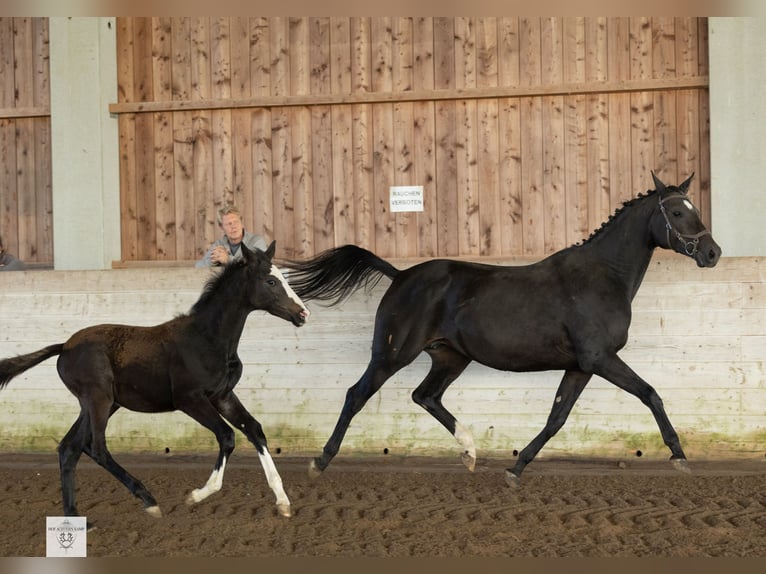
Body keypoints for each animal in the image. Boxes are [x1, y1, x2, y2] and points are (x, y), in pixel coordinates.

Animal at [1, 241, 312, 520]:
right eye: (271, 281)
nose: (302, 314)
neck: (207, 338)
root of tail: (64, 347)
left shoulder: (222, 396)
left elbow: (254, 430)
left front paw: (283, 502)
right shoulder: (191, 399)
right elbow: (227, 436)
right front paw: (196, 495)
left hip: (102, 404)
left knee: (71, 447)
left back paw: (74, 515)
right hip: (98, 400)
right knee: (97, 447)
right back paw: (149, 500)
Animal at [288, 174, 728, 486]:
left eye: (692, 207)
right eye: (676, 213)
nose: (712, 253)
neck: (603, 276)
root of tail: (401, 276)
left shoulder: (580, 366)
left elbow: (557, 417)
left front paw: (516, 470)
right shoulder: (600, 358)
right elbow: (650, 394)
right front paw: (679, 456)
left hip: (449, 357)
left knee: (425, 396)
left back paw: (470, 453)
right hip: (393, 354)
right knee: (356, 395)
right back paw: (320, 461)